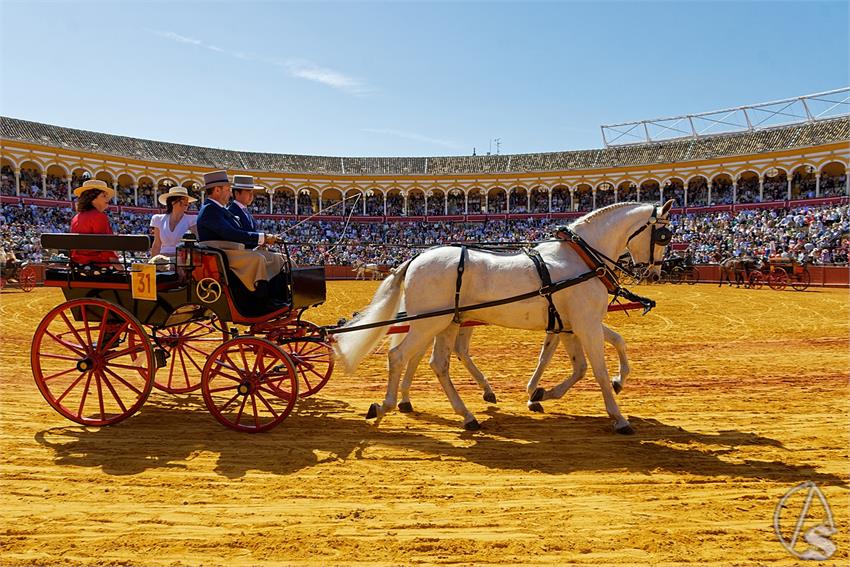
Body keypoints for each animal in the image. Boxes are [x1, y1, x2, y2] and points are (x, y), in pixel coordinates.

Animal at [334, 203, 672, 434]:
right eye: (664, 236)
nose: (655, 273)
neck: (582, 259)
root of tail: (416, 257)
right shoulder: (585, 322)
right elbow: (597, 369)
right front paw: (619, 416)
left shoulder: (570, 325)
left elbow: (591, 358)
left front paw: (542, 393)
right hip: (430, 322)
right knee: (400, 356)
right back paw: (386, 405)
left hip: (445, 322)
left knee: (436, 362)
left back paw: (464, 414)